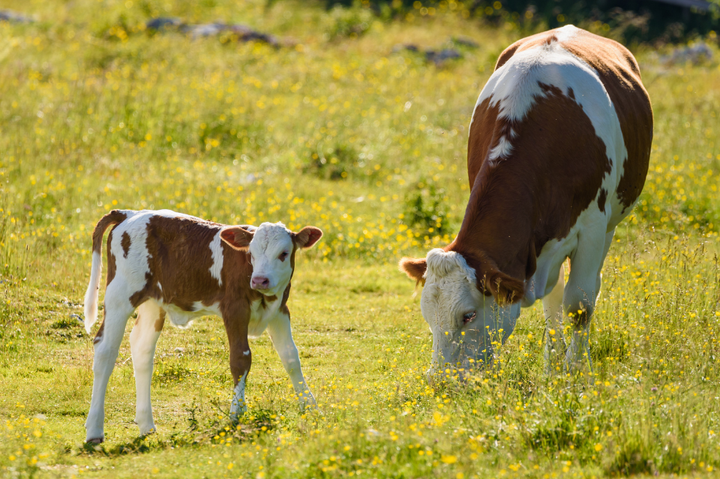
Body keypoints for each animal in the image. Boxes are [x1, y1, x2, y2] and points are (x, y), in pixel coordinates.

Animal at [83, 212, 322, 444]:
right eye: (251, 254)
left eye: (284, 253)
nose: (260, 280)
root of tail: (128, 213)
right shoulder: (234, 309)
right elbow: (240, 358)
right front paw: (236, 413)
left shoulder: (279, 310)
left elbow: (291, 357)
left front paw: (310, 407)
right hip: (120, 295)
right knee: (105, 350)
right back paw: (94, 429)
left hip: (154, 303)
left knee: (142, 350)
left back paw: (146, 425)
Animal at [400, 25, 652, 378]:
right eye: (427, 315)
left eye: (468, 315)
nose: (440, 382)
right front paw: (558, 363)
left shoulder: (592, 226)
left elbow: (580, 303)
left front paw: (577, 369)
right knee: (554, 296)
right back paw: (554, 358)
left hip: (611, 223)